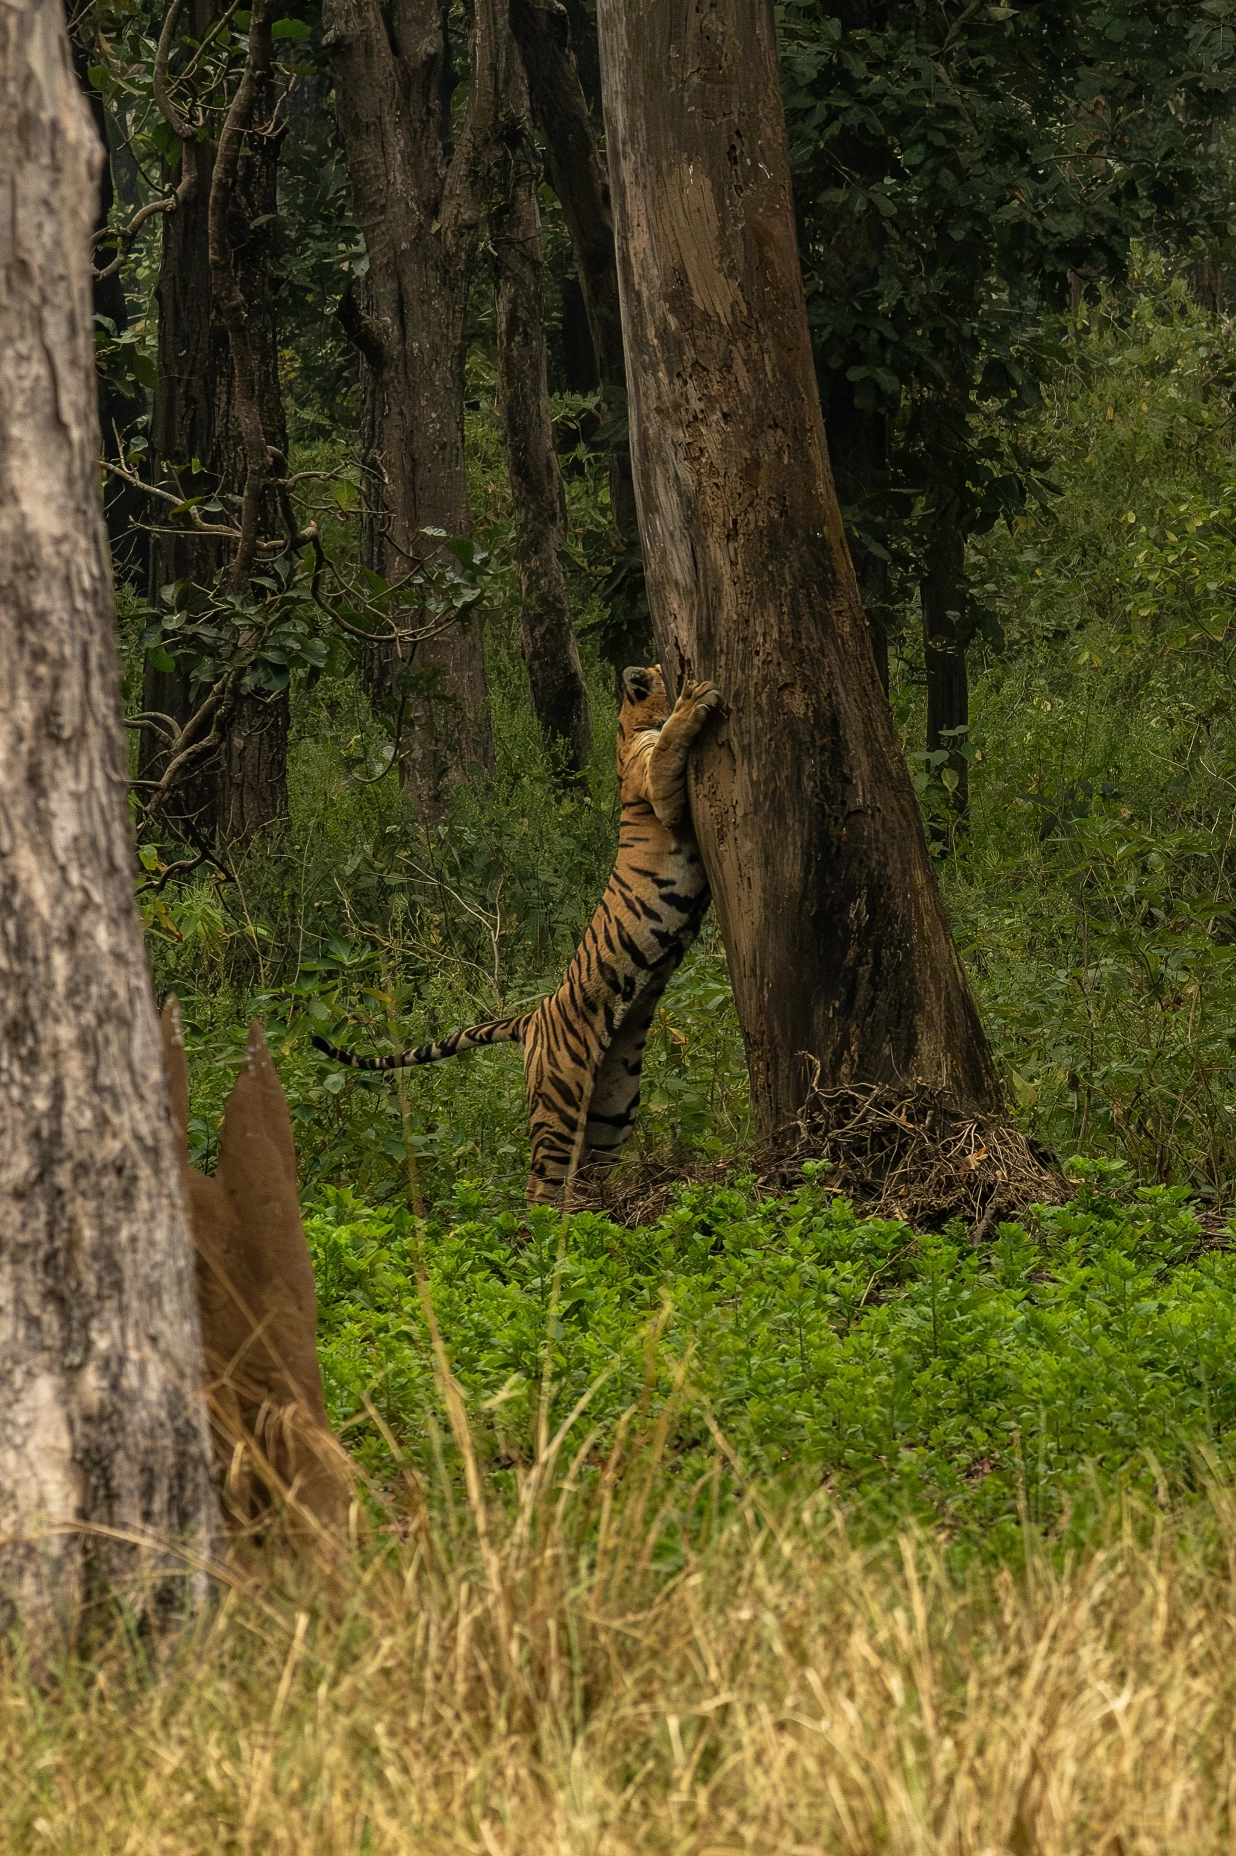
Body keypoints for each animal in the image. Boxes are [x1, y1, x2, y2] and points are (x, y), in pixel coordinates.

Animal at [312, 666, 722, 1204]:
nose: (654, 671)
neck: (628, 726)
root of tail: (531, 1018)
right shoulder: (658, 786)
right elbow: (673, 741)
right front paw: (695, 699)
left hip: (613, 1104)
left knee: (585, 1171)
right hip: (560, 1099)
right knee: (541, 1184)